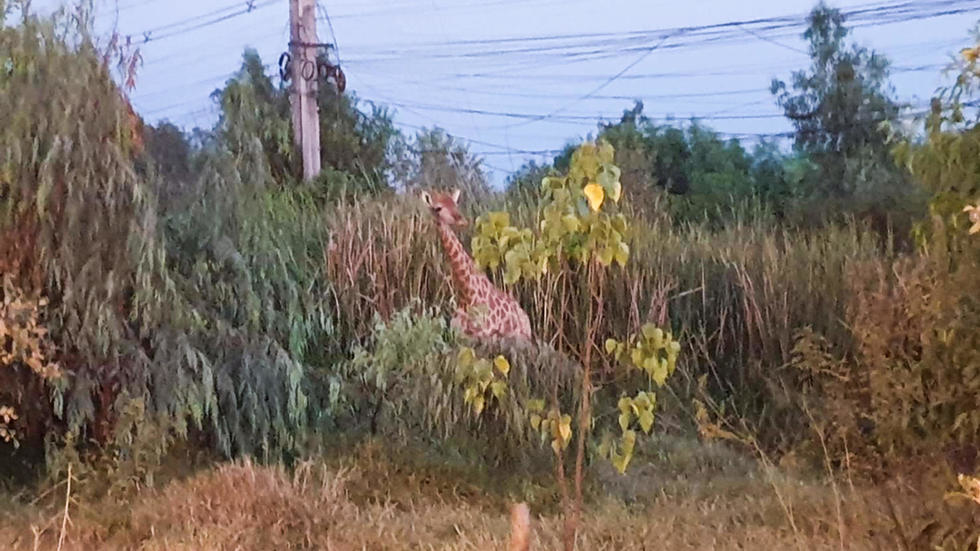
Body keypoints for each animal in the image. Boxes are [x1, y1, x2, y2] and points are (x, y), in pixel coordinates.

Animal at [421, 188, 533, 343]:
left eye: (455, 204)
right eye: (438, 208)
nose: (462, 221)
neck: (467, 294)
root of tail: (526, 317)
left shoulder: (485, 336)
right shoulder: (460, 336)